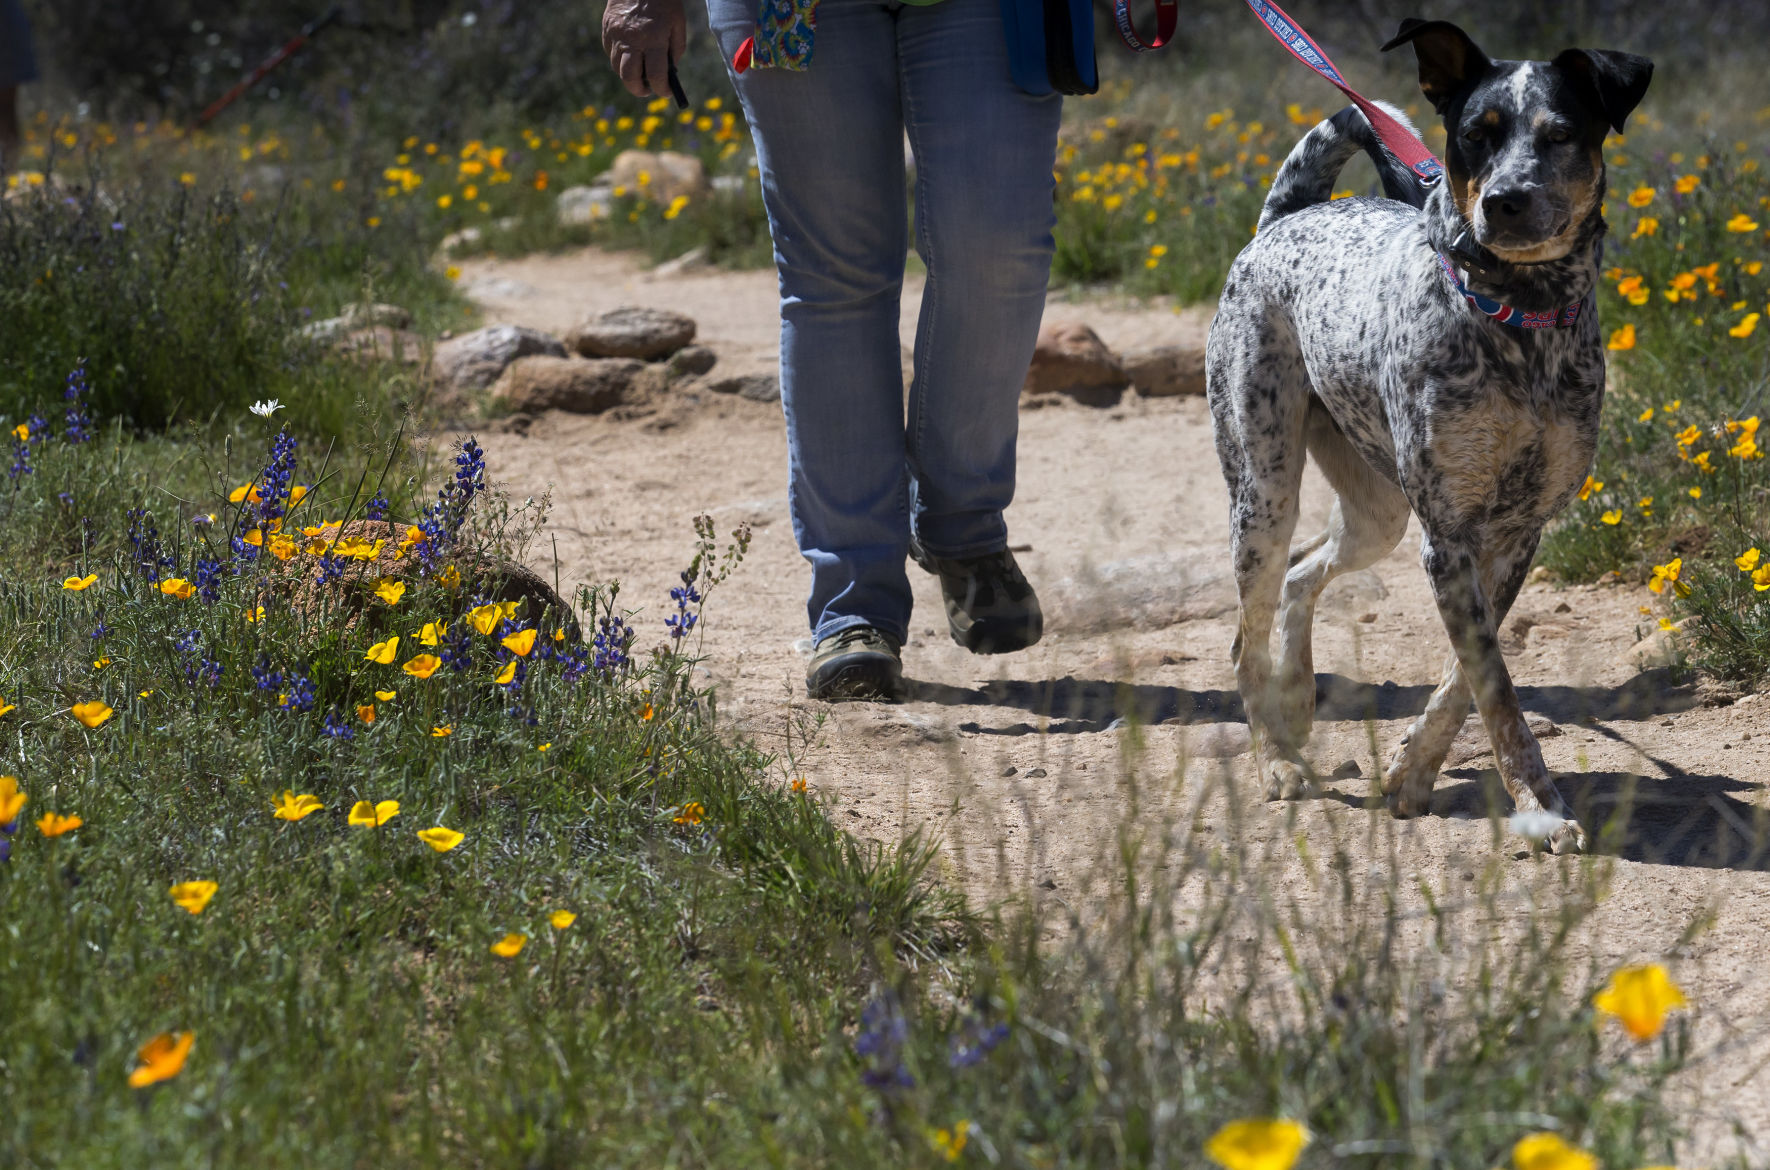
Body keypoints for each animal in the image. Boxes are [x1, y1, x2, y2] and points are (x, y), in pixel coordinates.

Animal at [1210, 18, 1649, 853]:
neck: (1519, 319)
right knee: (1246, 635)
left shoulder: (1513, 536)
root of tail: (1286, 220)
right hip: (1265, 493)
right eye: (1477, 134)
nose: (1506, 202)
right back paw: (1274, 758)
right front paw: (1542, 807)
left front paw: (1413, 772)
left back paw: (1300, 698)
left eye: (1560, 134)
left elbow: (1463, 680)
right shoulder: (1447, 536)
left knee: (1302, 578)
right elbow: (1494, 689)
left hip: (1378, 513)